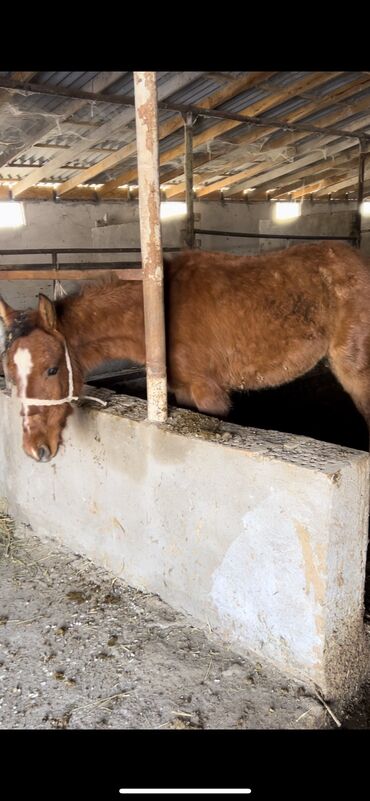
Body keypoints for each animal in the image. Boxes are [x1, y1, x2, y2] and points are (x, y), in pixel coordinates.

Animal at [0, 241, 370, 460]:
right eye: (9, 374)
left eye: (52, 369)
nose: (36, 449)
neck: (159, 315)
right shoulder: (184, 391)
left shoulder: (211, 394)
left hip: (356, 373)